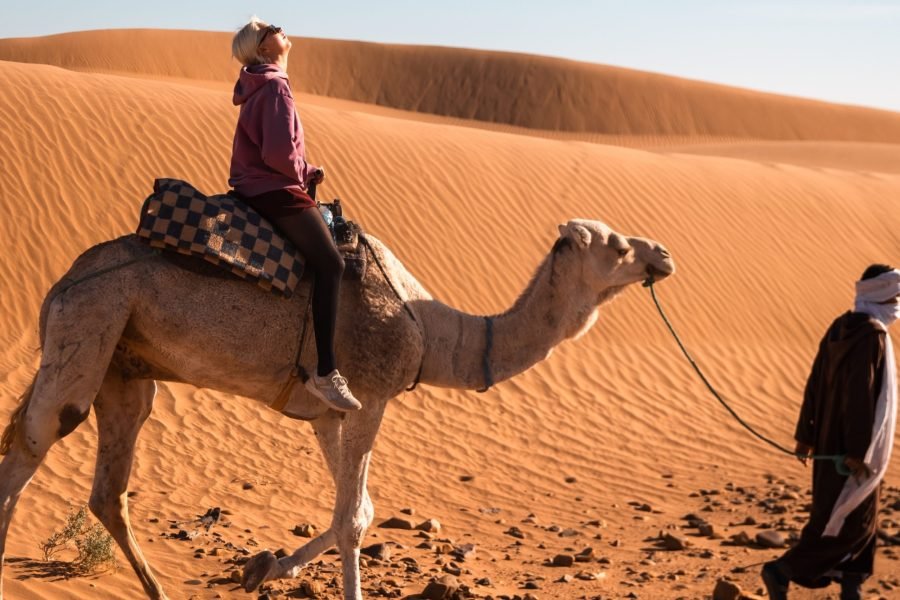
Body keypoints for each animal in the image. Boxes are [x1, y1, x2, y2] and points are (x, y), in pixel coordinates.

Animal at [0, 217, 674, 600]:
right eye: (617, 246)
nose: (663, 255)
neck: (433, 333)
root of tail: (60, 283)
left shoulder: (331, 413)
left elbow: (361, 508)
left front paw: (265, 569)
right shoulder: (370, 396)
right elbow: (353, 519)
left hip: (124, 366)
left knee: (108, 488)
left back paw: (160, 590)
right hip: (89, 324)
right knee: (32, 444)